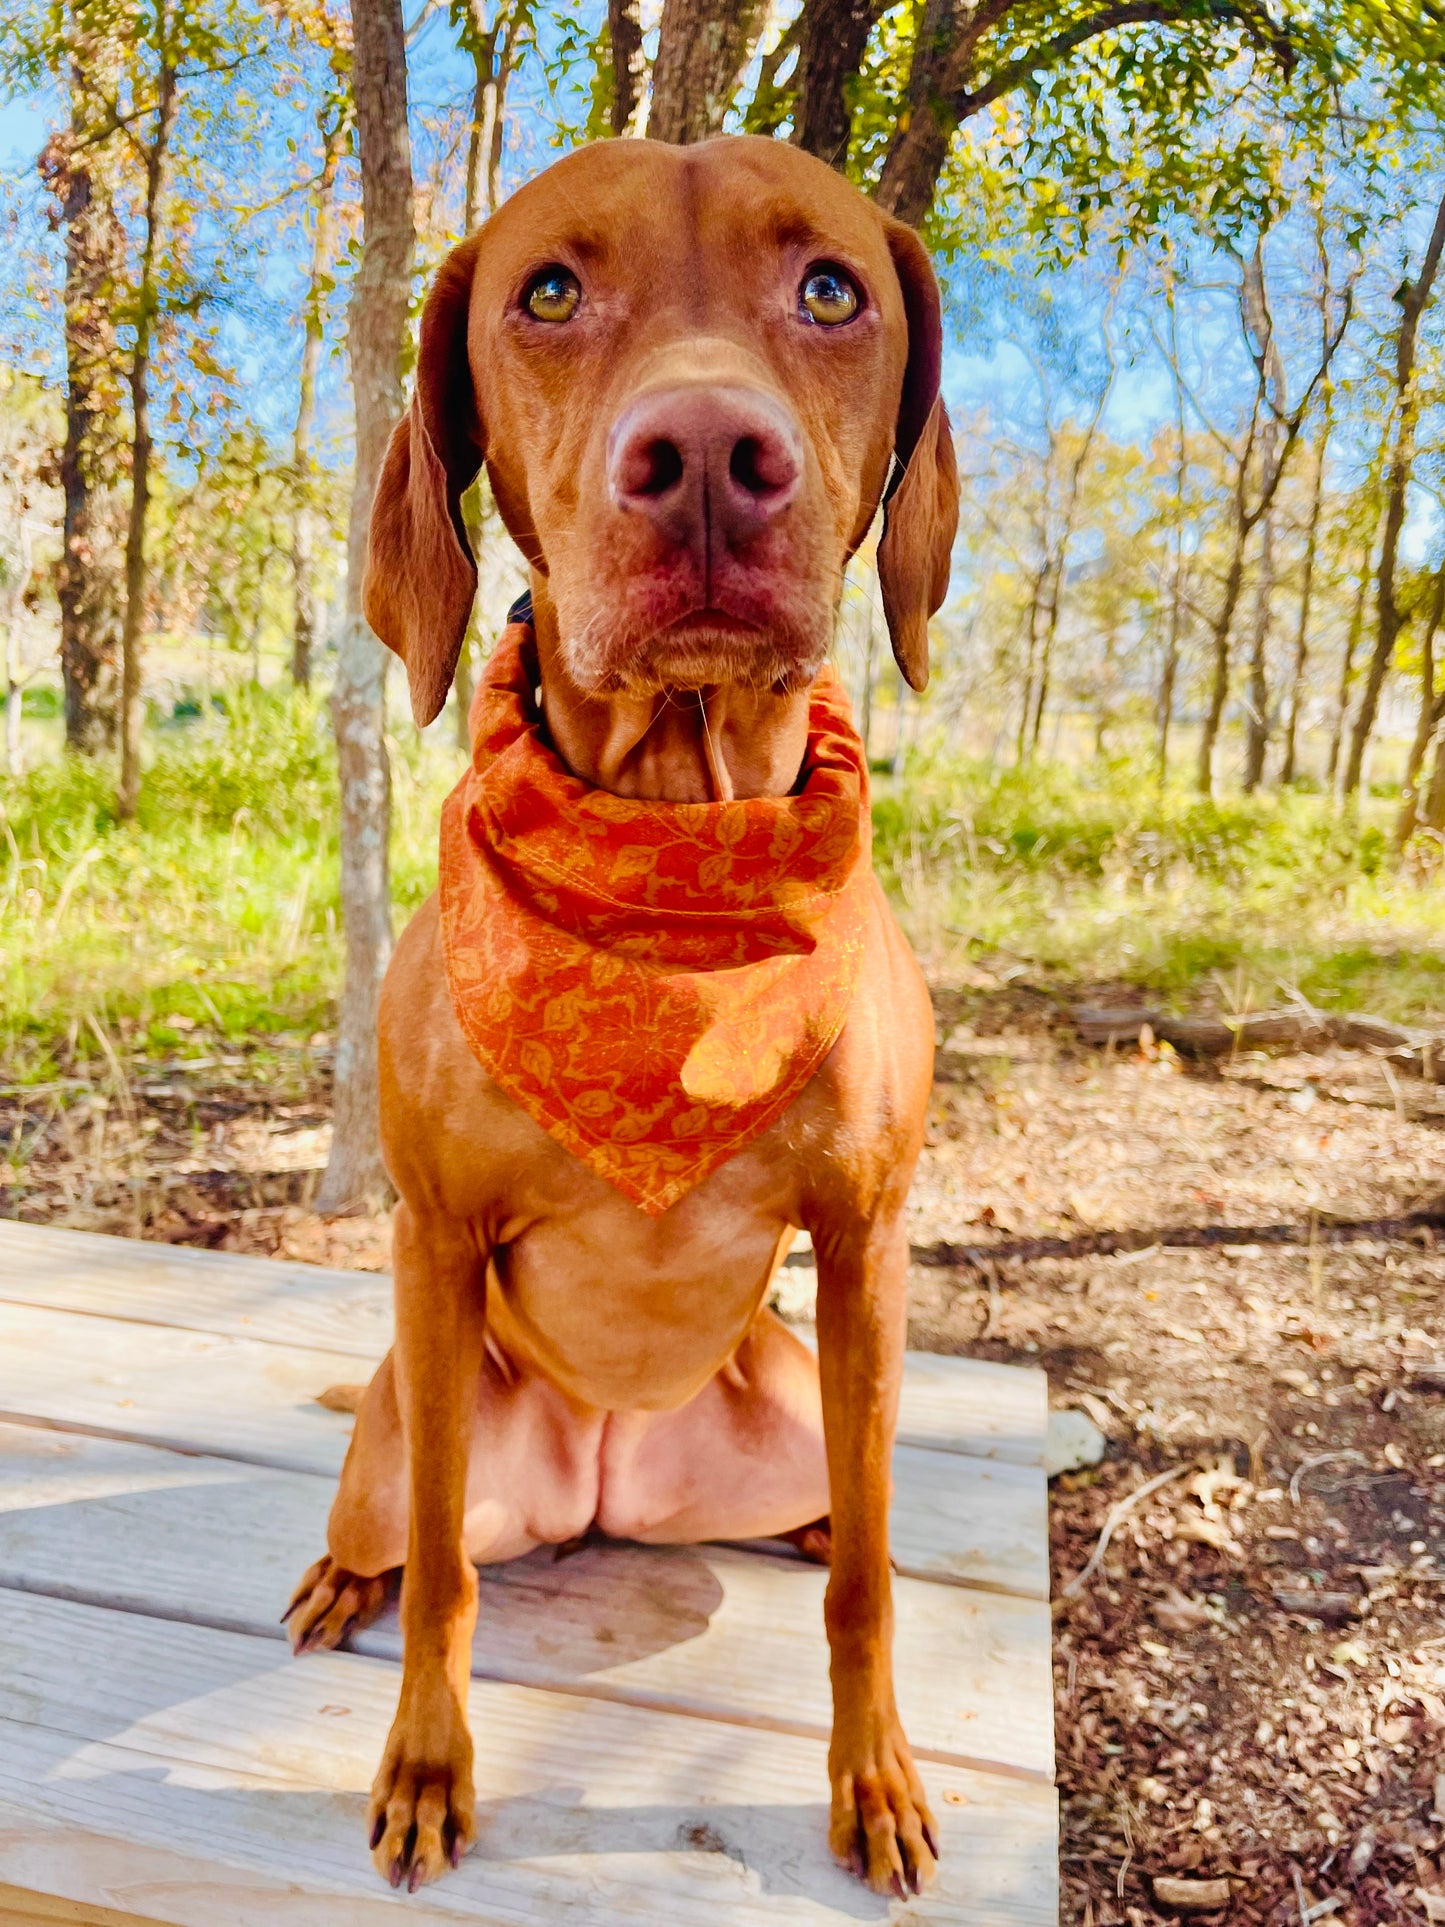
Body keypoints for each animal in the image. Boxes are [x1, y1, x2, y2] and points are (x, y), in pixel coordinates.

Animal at [283, 131, 963, 1896]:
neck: (672, 834)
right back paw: (341, 1575)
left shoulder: (866, 1243)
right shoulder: (433, 1235)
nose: (710, 454)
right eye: (546, 292)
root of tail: (606, 1481)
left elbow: (869, 1581)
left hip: (796, 1395)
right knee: (397, 1527)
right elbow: (447, 1575)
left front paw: (874, 1774)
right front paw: (429, 1762)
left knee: (838, 1511)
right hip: (407, 1422)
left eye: (830, 289)